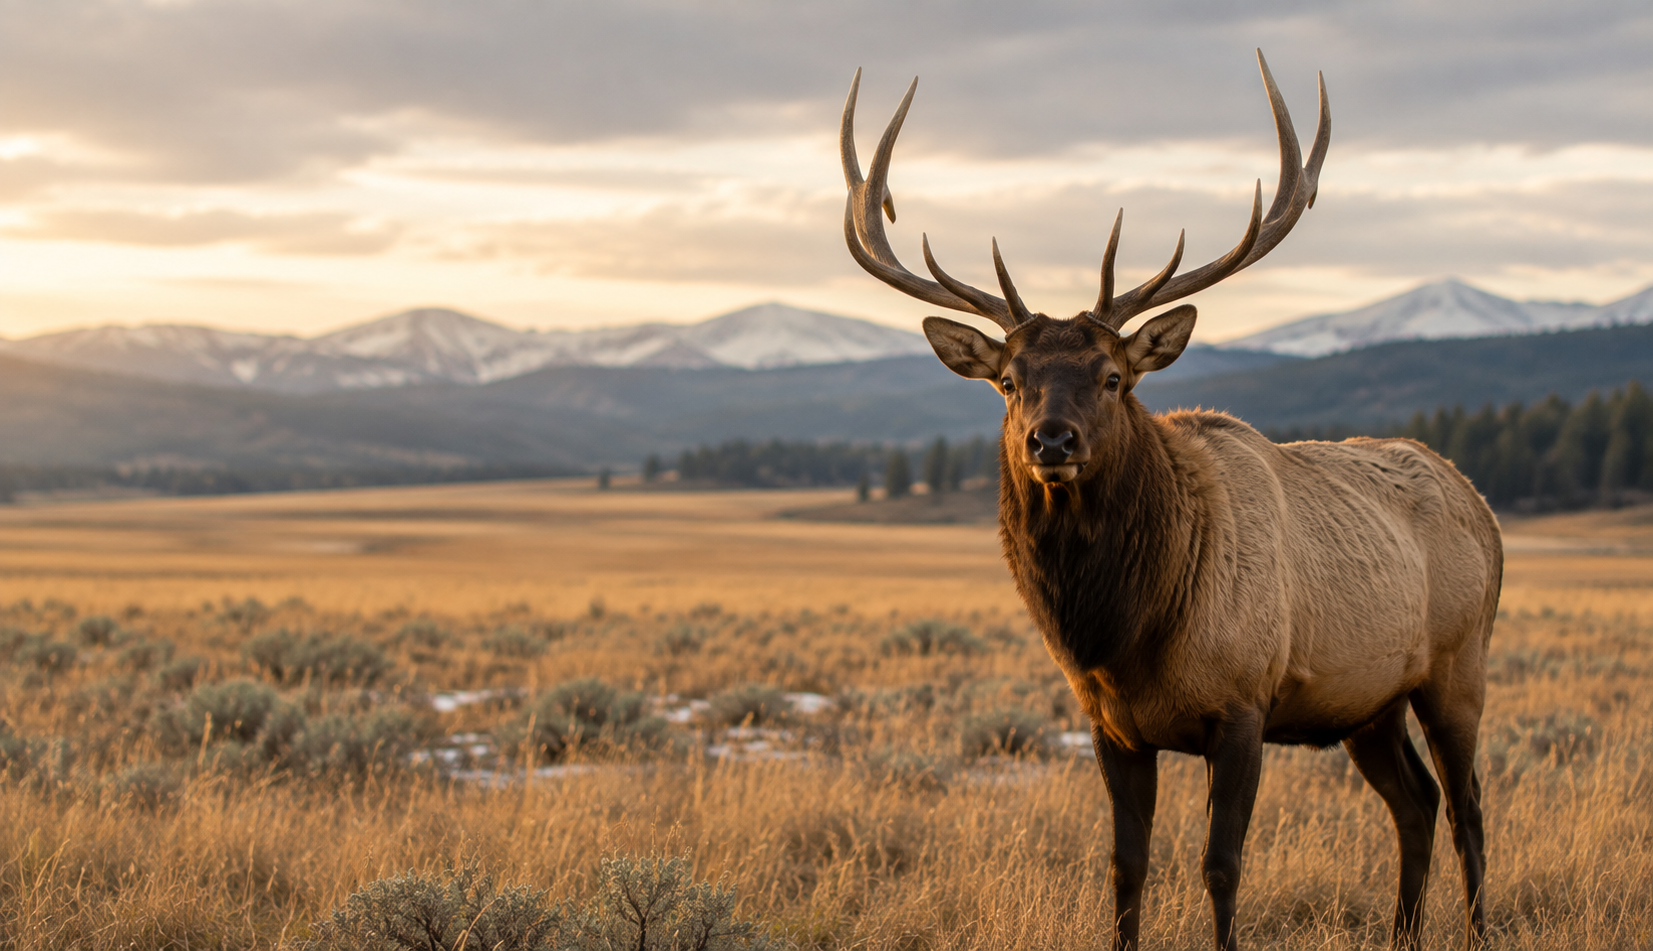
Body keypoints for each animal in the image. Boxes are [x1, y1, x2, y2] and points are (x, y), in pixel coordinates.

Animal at [840, 52, 1502, 951]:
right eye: (1008, 380)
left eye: (1113, 377)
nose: (1051, 441)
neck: (1125, 630)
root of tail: (1484, 508)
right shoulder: (1110, 725)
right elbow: (1125, 867)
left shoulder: (1245, 704)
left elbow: (1220, 866)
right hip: (1368, 701)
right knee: (1416, 801)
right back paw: (1402, 932)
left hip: (1458, 665)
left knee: (1468, 806)